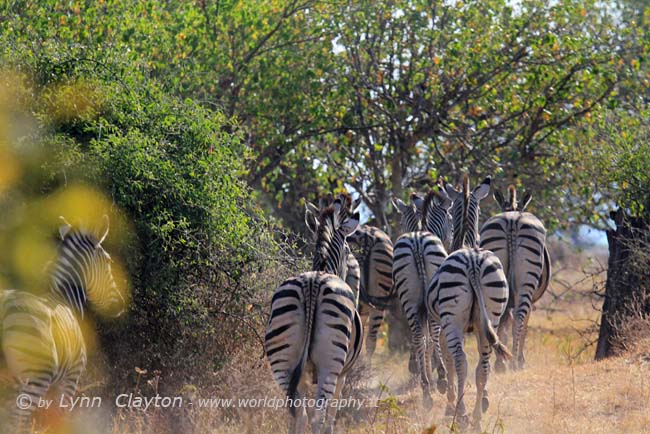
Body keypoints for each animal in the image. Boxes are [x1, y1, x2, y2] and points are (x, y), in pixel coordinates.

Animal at [0, 215, 125, 432]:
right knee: (18, 420)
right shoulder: (71, 377)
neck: (65, 299)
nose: (120, 305)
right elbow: (61, 416)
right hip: (37, 376)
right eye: (109, 261)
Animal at [266, 198, 362, 434]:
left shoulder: (303, 375)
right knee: (318, 415)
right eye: (348, 249)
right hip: (330, 364)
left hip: (281, 360)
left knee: (296, 413)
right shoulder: (343, 375)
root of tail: (313, 282)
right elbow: (331, 415)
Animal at [388, 192, 448, 408]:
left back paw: (426, 388)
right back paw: (440, 379)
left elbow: (422, 339)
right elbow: (429, 339)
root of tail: (416, 242)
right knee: (433, 334)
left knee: (417, 335)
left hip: (409, 297)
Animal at [426, 175, 512, 428]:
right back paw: (476, 417)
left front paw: (449, 404)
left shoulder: (444, 326)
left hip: (452, 321)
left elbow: (448, 361)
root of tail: (473, 262)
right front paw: (484, 402)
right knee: (483, 364)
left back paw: (461, 413)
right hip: (492, 316)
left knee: (461, 360)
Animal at [478, 185, 548, 372]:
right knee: (519, 318)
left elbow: (505, 325)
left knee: (497, 320)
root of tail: (511, 221)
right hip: (526, 283)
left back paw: (501, 363)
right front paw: (521, 359)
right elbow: (524, 326)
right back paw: (515, 362)